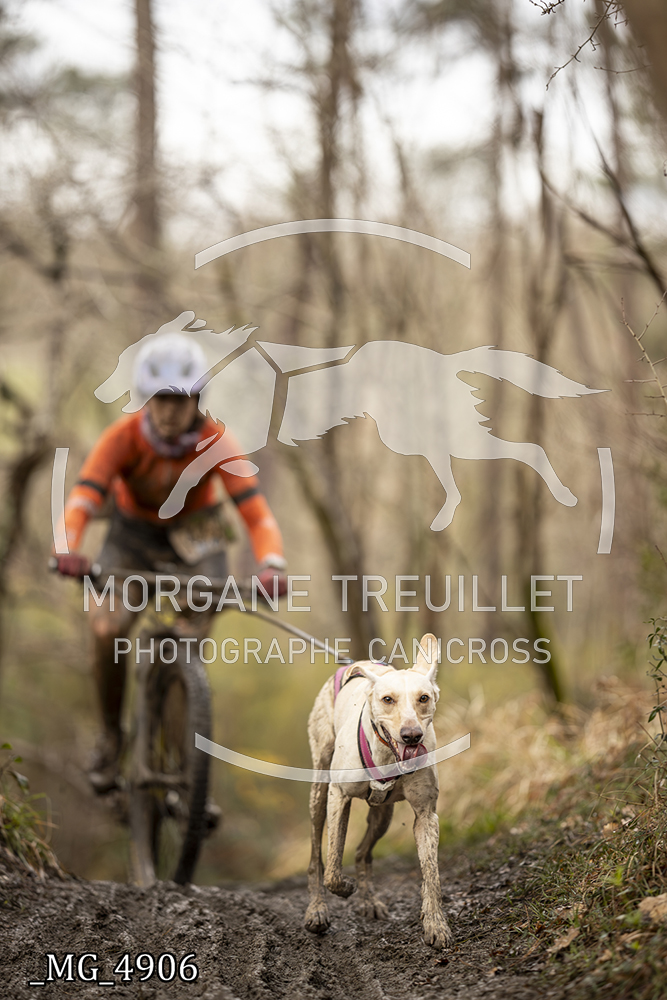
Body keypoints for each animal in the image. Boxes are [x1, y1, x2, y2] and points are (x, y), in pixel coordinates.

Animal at [304, 633, 452, 949]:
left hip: (383, 815)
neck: (386, 755)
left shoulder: (426, 815)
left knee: (362, 853)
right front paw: (343, 887)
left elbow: (431, 874)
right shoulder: (339, 796)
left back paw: (368, 901)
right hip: (319, 792)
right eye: (388, 700)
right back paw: (317, 910)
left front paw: (435, 924)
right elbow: (333, 865)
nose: (412, 735)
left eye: (424, 698)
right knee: (316, 857)